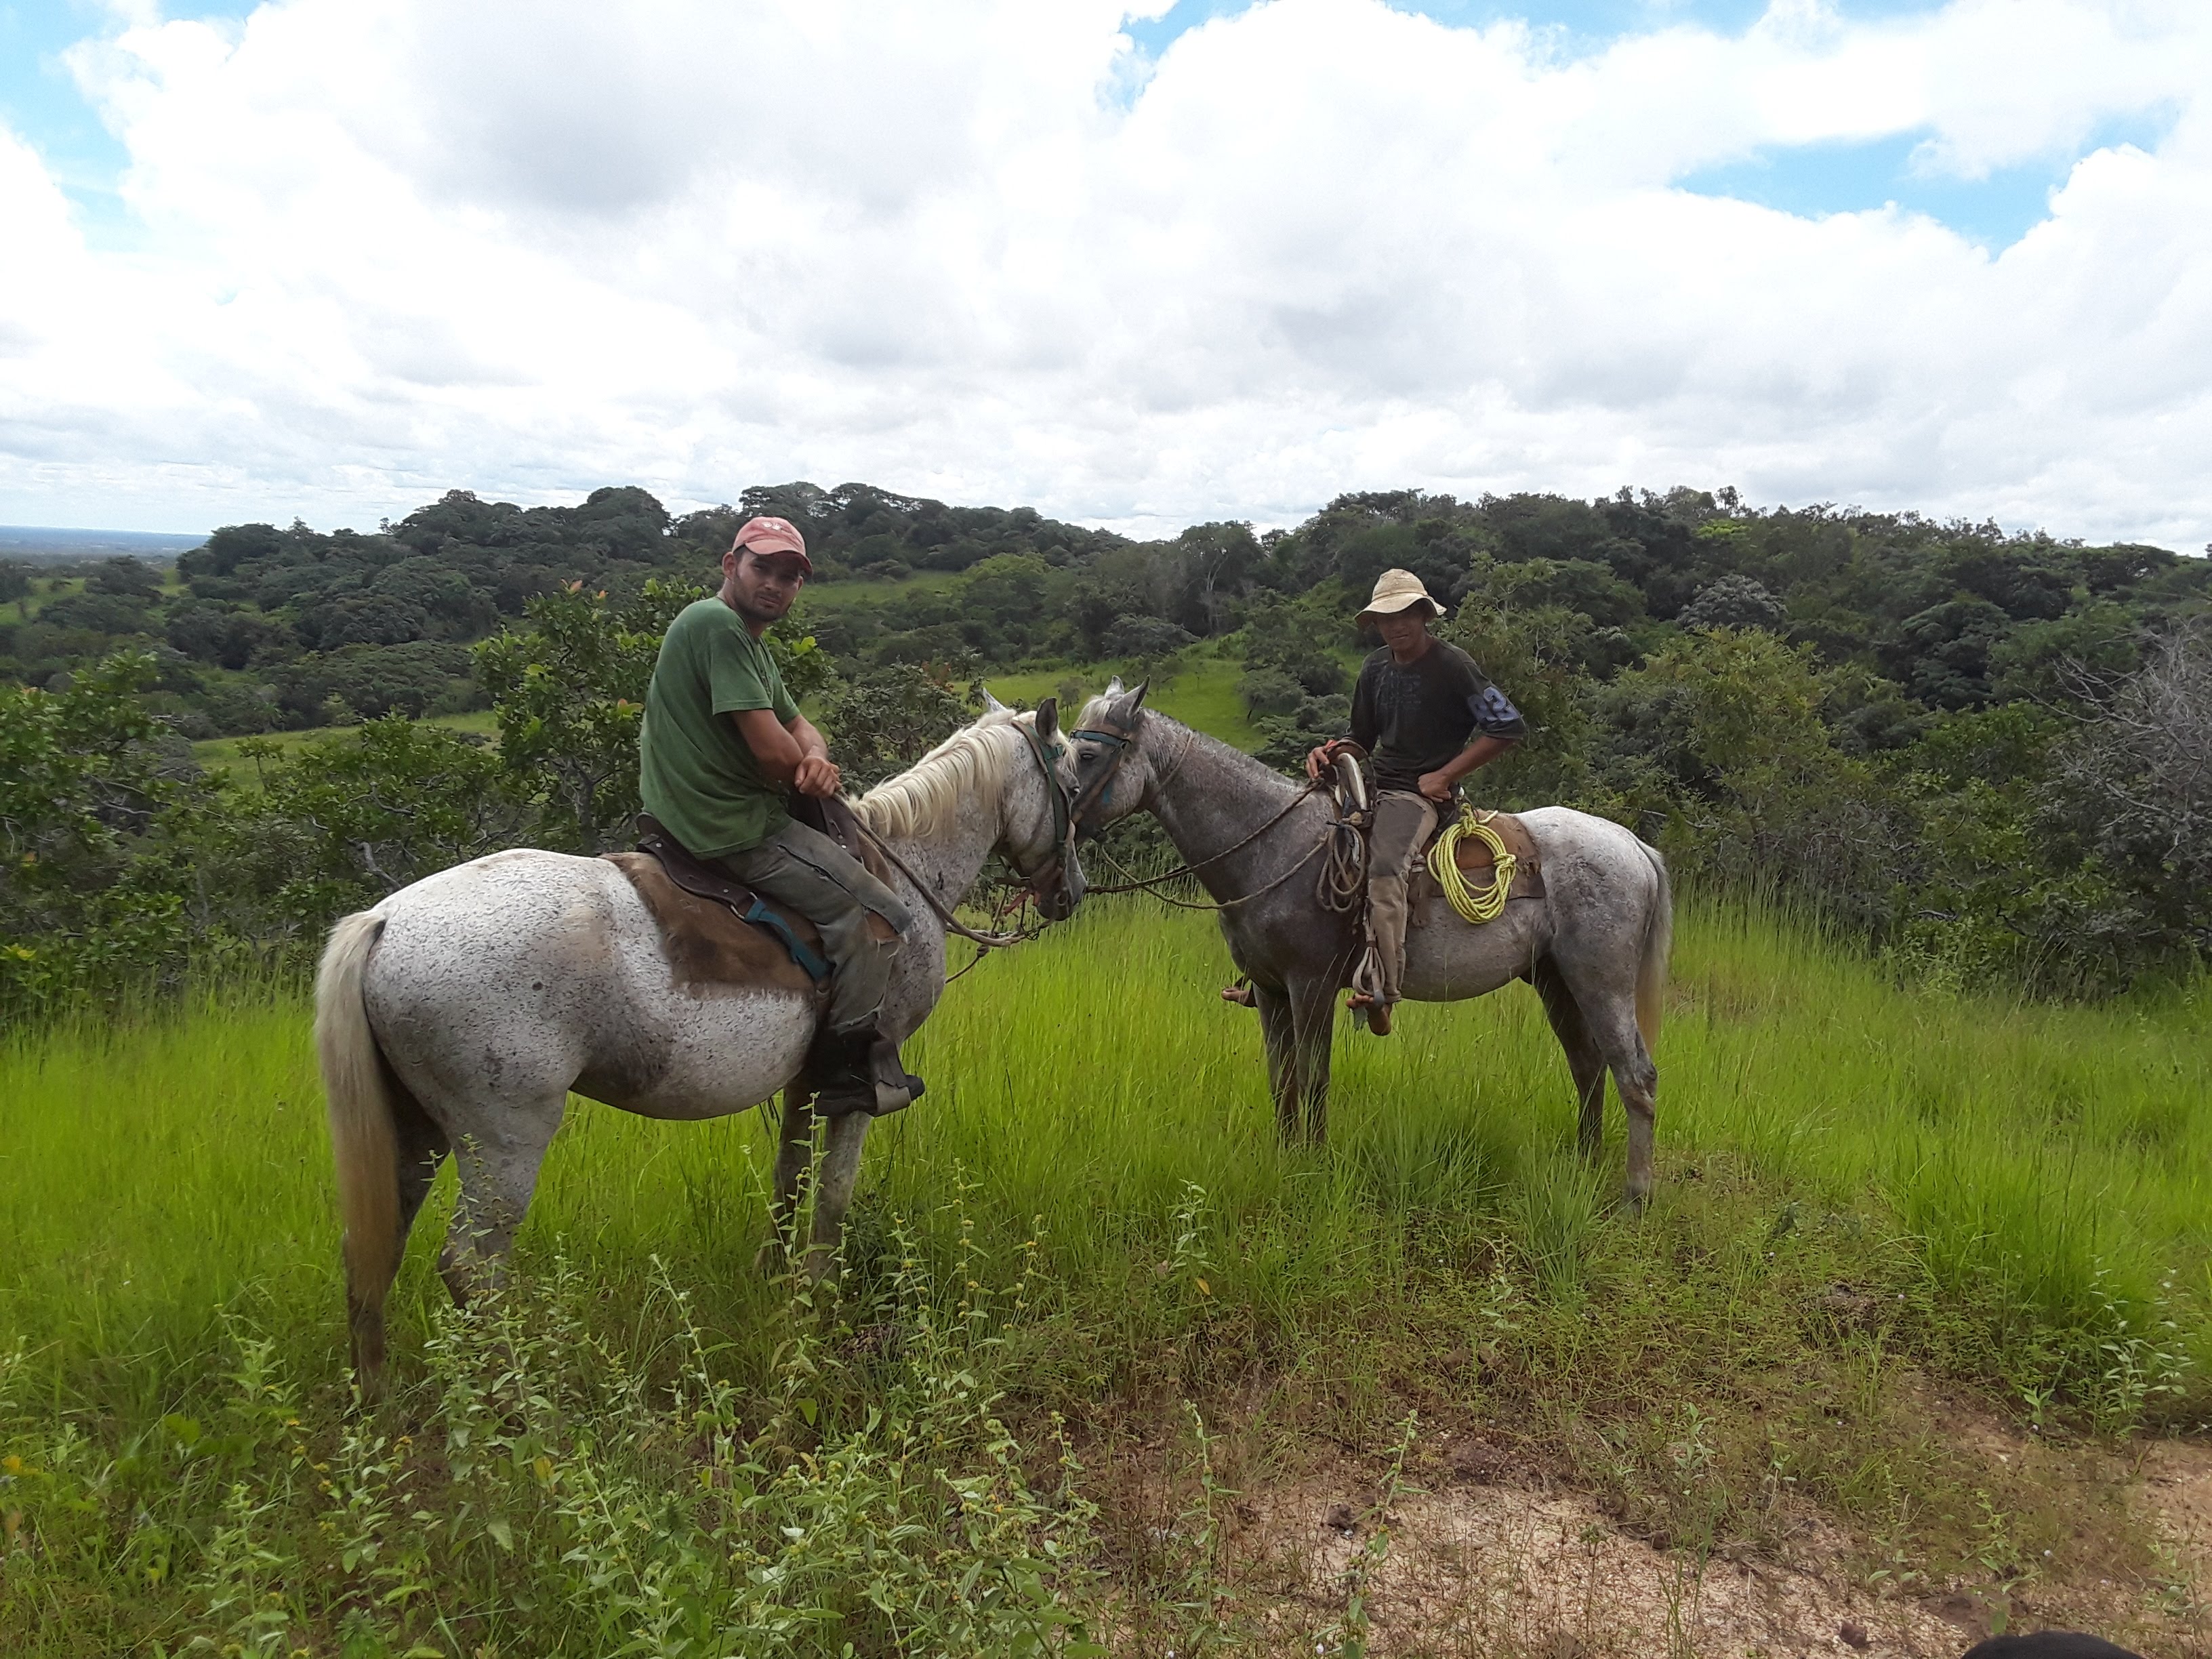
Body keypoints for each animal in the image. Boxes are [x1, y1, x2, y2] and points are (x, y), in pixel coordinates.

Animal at [316, 701, 1080, 1392]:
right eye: (1072, 785)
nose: (1069, 893)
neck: (903, 876)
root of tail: (384, 921)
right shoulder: (864, 1081)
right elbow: (833, 1195)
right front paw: (816, 1303)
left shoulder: (807, 1079)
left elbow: (788, 1180)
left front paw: (773, 1284)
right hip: (503, 1138)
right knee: (472, 1267)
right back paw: (523, 1408)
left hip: (415, 1129)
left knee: (373, 1246)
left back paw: (377, 1400)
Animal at [1058, 683, 1672, 1205]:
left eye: (1086, 756)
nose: (1058, 827)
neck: (1273, 847)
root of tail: (1633, 845)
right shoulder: (1271, 991)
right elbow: (1281, 1079)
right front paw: (1285, 1159)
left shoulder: (1312, 986)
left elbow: (1313, 1077)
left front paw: (1310, 1167)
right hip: (1555, 978)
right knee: (1587, 1064)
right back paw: (1585, 1166)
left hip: (1601, 980)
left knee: (1635, 1074)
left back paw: (1635, 1196)